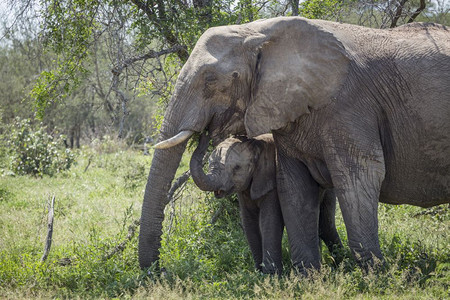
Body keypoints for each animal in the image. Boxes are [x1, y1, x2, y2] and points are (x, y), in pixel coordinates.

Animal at [189, 134, 342, 274]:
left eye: (237, 168)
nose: (204, 135)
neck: (255, 145)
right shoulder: (245, 188)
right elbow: (249, 222)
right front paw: (258, 273)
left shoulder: (271, 181)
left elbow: (268, 221)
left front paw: (271, 276)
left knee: (325, 225)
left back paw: (339, 263)